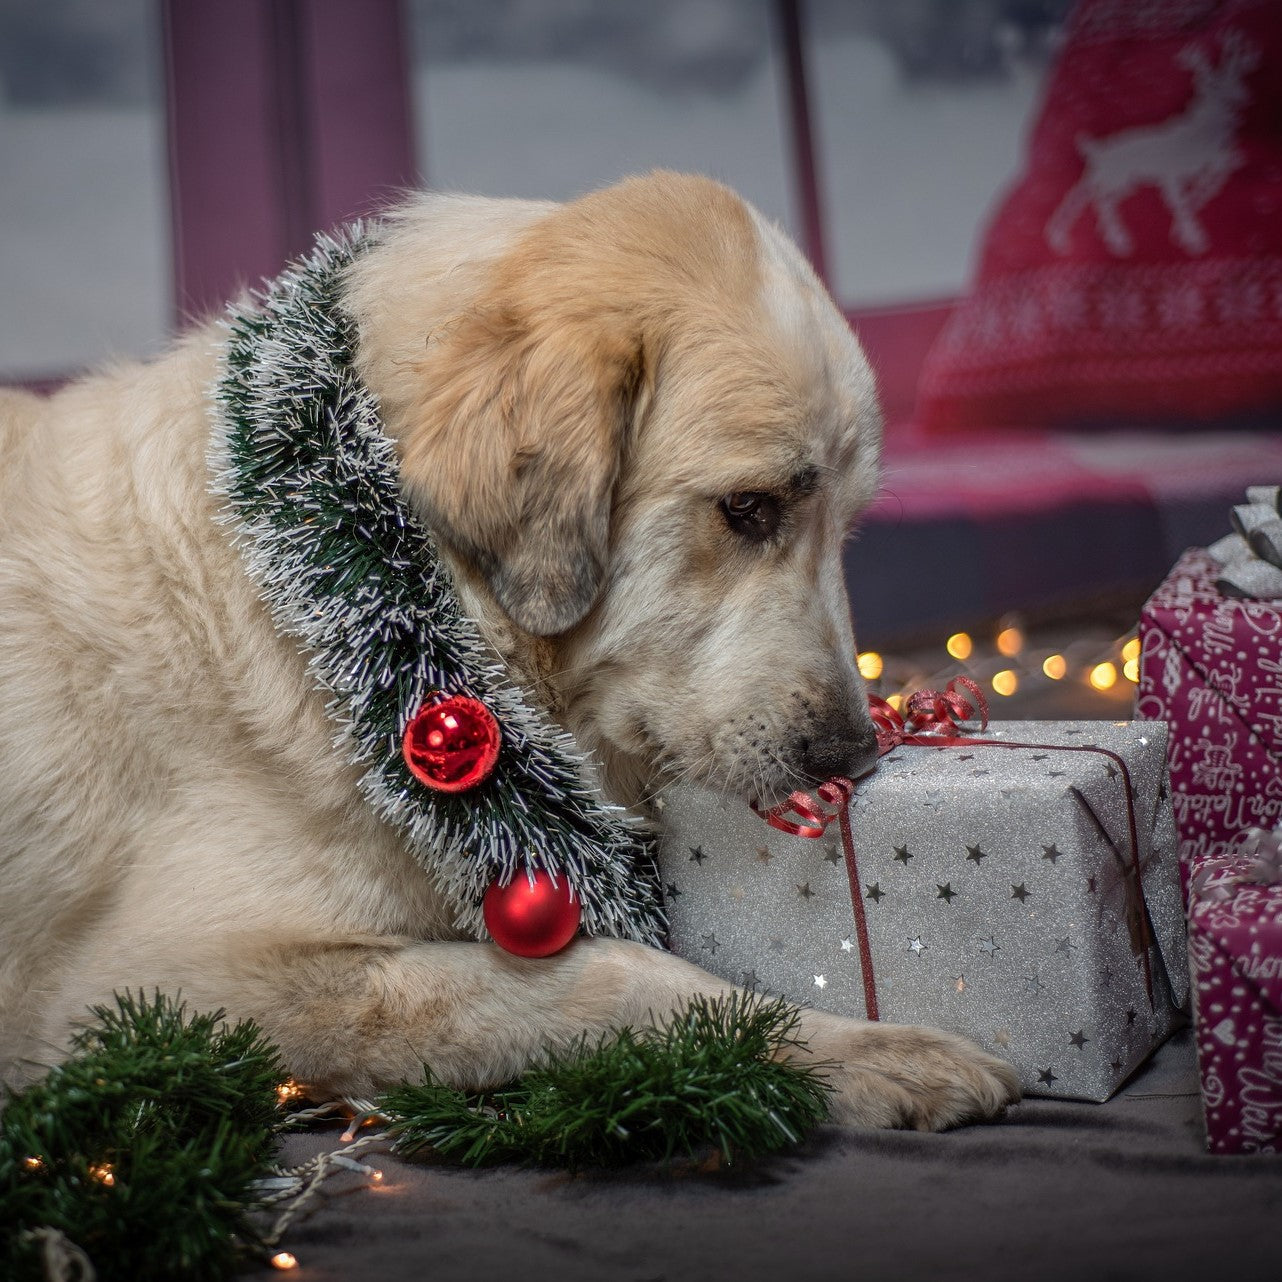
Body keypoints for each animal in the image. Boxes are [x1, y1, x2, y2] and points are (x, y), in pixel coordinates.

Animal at [0, 175, 1020, 1128]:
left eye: (847, 527)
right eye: (747, 508)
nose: (856, 754)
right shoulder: (155, 986)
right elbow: (611, 977)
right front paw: (859, 1052)